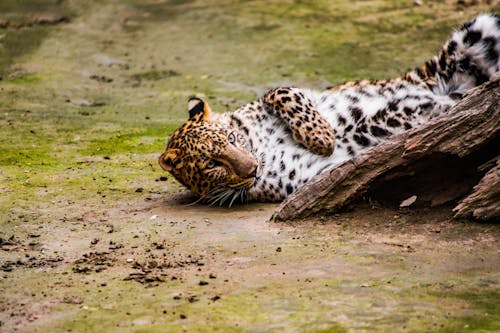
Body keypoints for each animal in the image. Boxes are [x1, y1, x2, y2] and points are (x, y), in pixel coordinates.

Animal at [159, 14, 500, 205]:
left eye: (231, 138)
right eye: (212, 163)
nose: (253, 169)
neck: (259, 145)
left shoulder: (299, 94)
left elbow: (280, 90)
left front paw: (322, 137)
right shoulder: (311, 176)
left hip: (476, 33)